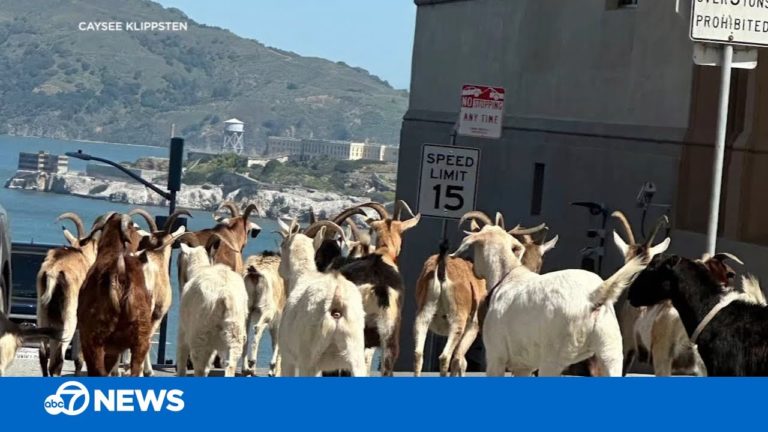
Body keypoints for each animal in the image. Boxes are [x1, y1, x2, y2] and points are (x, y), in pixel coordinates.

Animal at [37, 212, 100, 374]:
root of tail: (53, 272)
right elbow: (79, 359)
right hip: (69, 318)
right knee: (58, 360)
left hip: (43, 314)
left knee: (44, 353)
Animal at [176, 241, 248, 376]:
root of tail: (225, 295)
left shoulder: (183, 328)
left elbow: (182, 356)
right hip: (234, 332)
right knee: (229, 364)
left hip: (200, 333)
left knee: (199, 366)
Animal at [278, 219, 368, 374]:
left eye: (282, 245)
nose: (279, 269)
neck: (303, 276)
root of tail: (337, 301)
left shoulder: (287, 357)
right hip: (355, 356)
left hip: (309, 361)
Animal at [452, 211, 652, 376]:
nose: (474, 270)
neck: (508, 276)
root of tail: (593, 296)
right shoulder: (524, 367)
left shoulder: (496, 357)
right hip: (611, 355)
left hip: (553, 358)